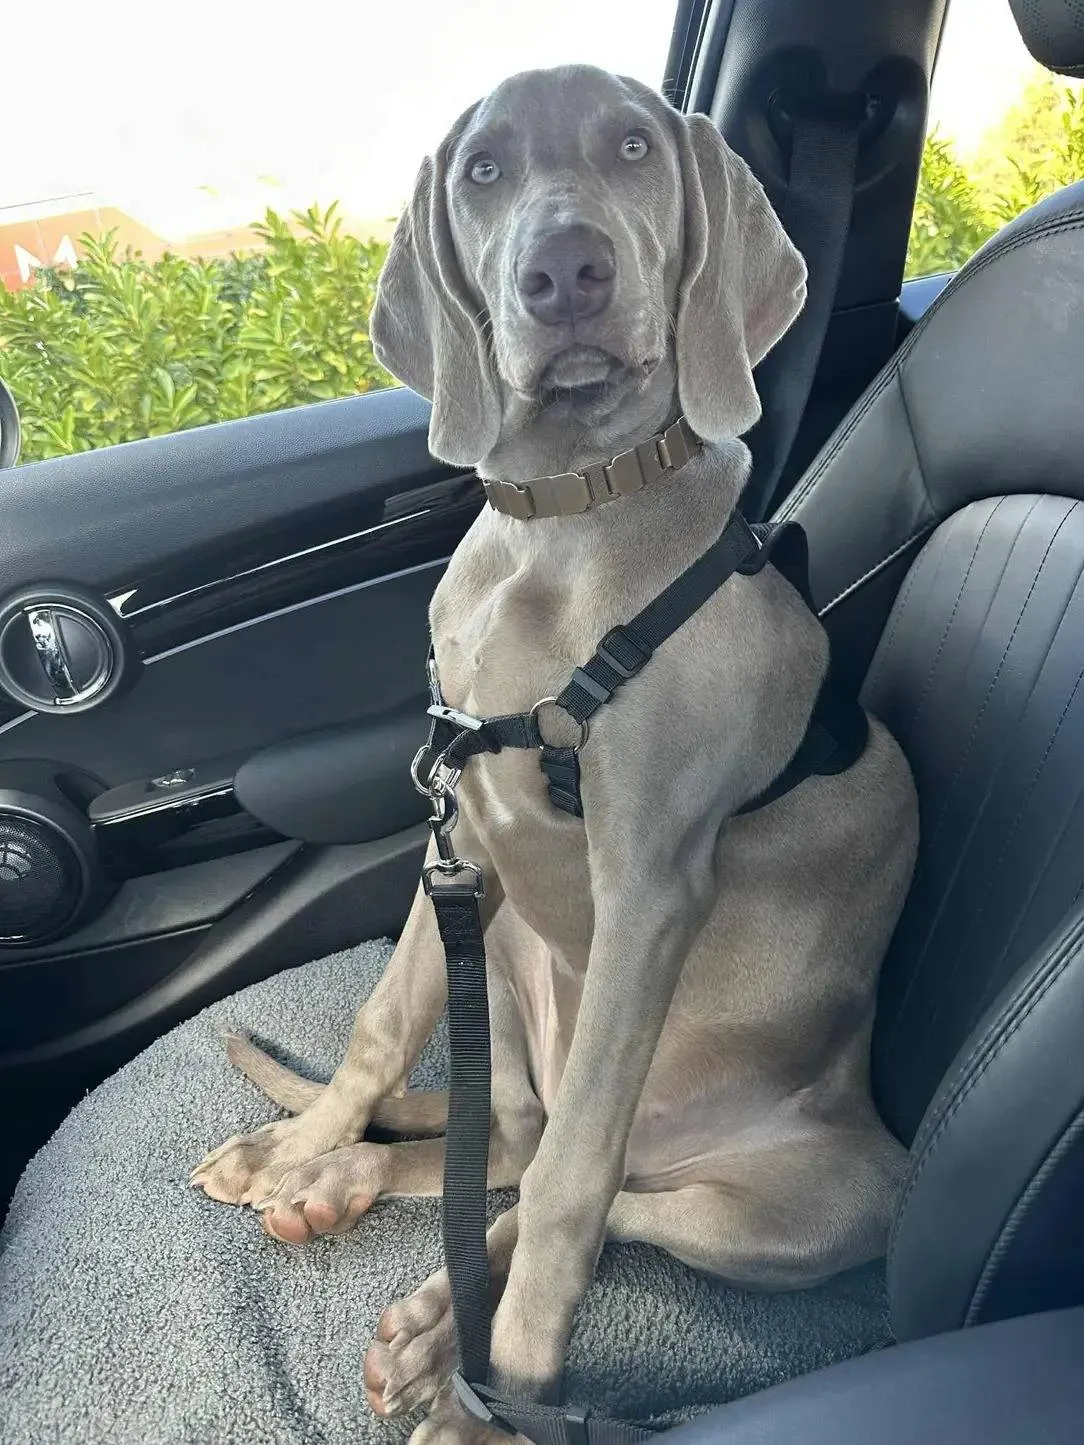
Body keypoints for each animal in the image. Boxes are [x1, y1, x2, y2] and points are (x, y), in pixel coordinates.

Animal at [191, 64, 919, 1445]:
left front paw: (507, 1380)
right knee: (513, 1143)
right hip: (518, 971)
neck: (565, 521)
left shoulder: (650, 885)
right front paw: (305, 1145)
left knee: (596, 1185)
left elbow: (576, 1186)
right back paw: (329, 1179)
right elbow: (381, 1023)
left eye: (634, 146)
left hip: (832, 1192)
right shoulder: (458, 832)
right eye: (484, 171)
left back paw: (446, 1344)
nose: (565, 273)